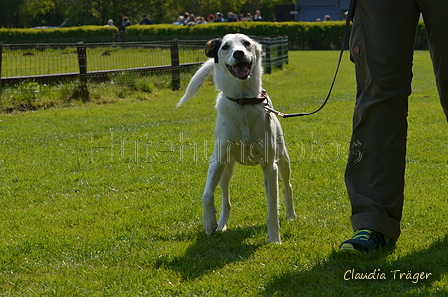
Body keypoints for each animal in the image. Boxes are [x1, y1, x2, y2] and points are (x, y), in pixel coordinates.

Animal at [177, 33, 296, 243]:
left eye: (247, 43)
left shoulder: (270, 165)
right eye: (225, 47)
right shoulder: (217, 160)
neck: (243, 101)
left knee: (286, 187)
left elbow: (273, 208)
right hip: (226, 170)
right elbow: (206, 195)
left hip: (282, 158)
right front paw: (209, 223)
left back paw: (290, 214)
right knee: (226, 200)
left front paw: (274, 238)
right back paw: (221, 224)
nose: (239, 53)